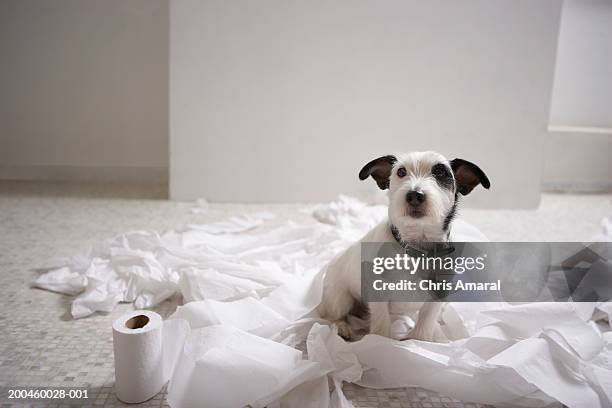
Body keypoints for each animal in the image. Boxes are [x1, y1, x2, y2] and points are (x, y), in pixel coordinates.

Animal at [318, 150, 490, 342]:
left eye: (440, 172)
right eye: (401, 172)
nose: (415, 195)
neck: (418, 248)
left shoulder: (438, 296)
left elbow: (425, 323)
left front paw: (420, 341)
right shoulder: (378, 295)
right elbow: (381, 325)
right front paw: (379, 343)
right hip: (340, 298)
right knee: (331, 316)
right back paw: (342, 327)